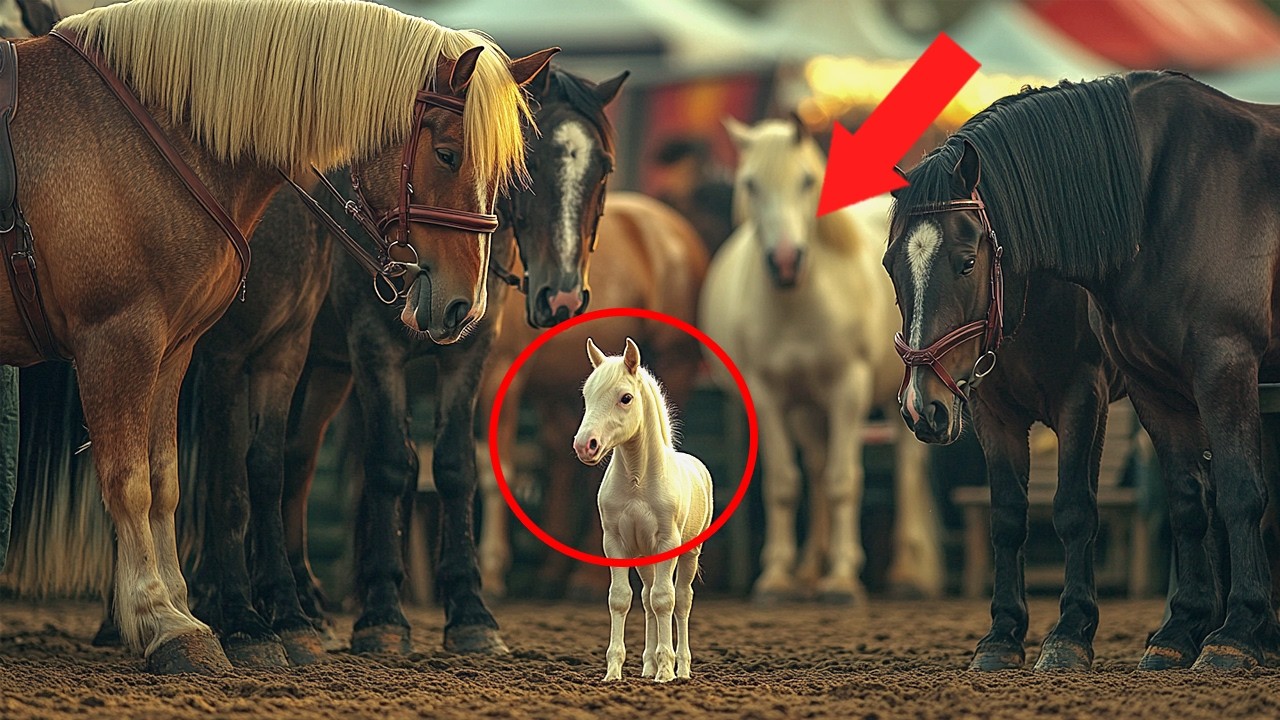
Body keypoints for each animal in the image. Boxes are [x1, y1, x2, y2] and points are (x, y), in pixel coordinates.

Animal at [0, 0, 544, 673]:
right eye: (446, 154)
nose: (466, 304)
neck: (141, 138)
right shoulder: (125, 343)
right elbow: (142, 482)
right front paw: (170, 620)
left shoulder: (181, 351)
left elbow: (174, 479)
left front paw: (194, 616)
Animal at [278, 64, 627, 656]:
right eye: (528, 164)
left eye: (601, 169)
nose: (561, 297)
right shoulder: (374, 347)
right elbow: (388, 464)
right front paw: (382, 615)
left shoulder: (470, 351)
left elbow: (454, 466)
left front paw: (469, 613)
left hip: (324, 371)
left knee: (297, 459)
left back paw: (307, 601)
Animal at [573, 338, 713, 683]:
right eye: (587, 396)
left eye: (626, 398)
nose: (585, 445)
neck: (638, 481)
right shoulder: (615, 544)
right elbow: (621, 599)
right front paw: (614, 672)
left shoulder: (668, 543)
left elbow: (665, 600)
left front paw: (667, 671)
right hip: (644, 557)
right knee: (648, 599)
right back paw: (648, 667)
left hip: (689, 554)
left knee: (681, 601)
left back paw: (682, 668)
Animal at [699, 117, 941, 603]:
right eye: (750, 184)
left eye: (808, 181)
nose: (785, 261)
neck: (800, 303)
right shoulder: (768, 397)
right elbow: (784, 483)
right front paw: (777, 576)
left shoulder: (848, 389)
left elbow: (842, 480)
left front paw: (844, 577)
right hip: (807, 408)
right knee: (813, 464)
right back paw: (810, 569)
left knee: (906, 468)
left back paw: (905, 574)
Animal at [883, 72, 1280, 670]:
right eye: (890, 265)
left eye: (967, 260)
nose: (919, 408)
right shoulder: (1006, 406)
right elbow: (1012, 516)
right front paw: (1003, 636)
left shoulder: (1142, 384)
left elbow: (1083, 507)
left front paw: (1074, 634)